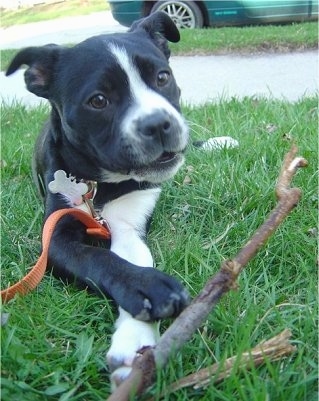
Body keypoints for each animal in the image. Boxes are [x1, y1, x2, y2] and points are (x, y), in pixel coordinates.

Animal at [6, 10, 191, 382]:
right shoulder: (56, 235)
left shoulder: (129, 225)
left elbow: (130, 257)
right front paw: (146, 287)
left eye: (162, 77)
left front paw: (135, 339)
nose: (158, 123)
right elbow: (98, 258)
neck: (101, 185)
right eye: (98, 101)